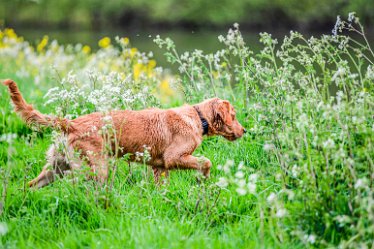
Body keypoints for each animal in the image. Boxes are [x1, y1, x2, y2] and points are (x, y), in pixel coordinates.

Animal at [4, 79, 247, 188]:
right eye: (234, 115)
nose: (244, 130)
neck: (197, 117)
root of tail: (69, 123)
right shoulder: (174, 157)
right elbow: (205, 162)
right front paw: (204, 179)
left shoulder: (159, 166)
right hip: (94, 168)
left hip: (57, 165)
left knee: (33, 184)